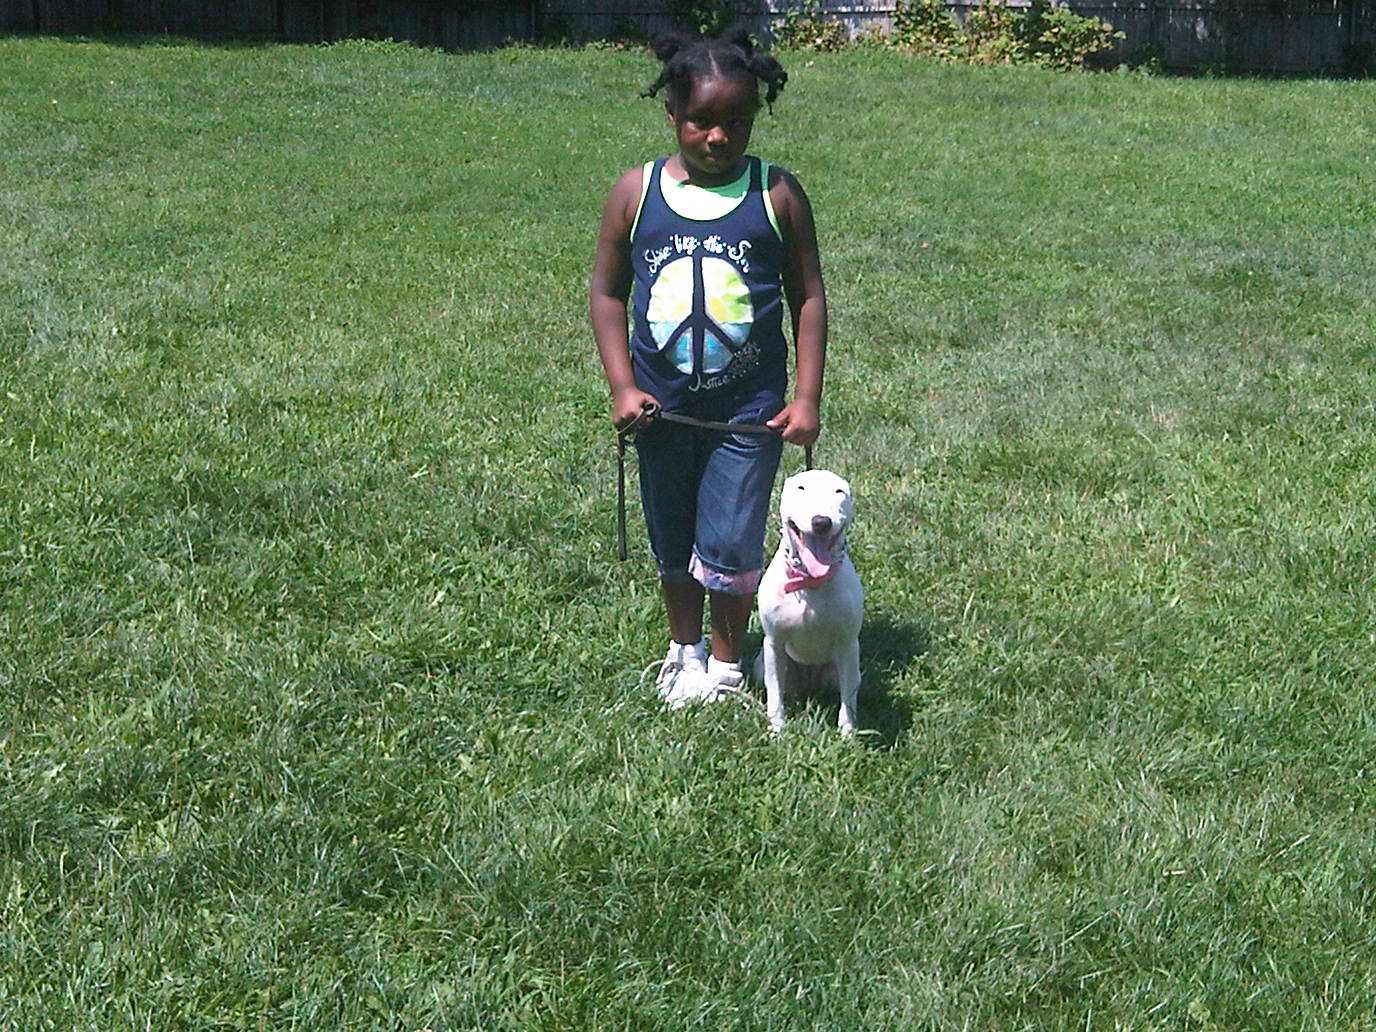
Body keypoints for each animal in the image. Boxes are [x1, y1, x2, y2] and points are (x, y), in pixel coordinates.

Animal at [759, 467, 864, 737]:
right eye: (801, 488)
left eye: (839, 491)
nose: (821, 522)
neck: (808, 583)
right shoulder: (774, 643)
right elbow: (774, 692)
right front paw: (777, 730)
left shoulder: (848, 644)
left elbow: (848, 699)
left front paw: (847, 734)